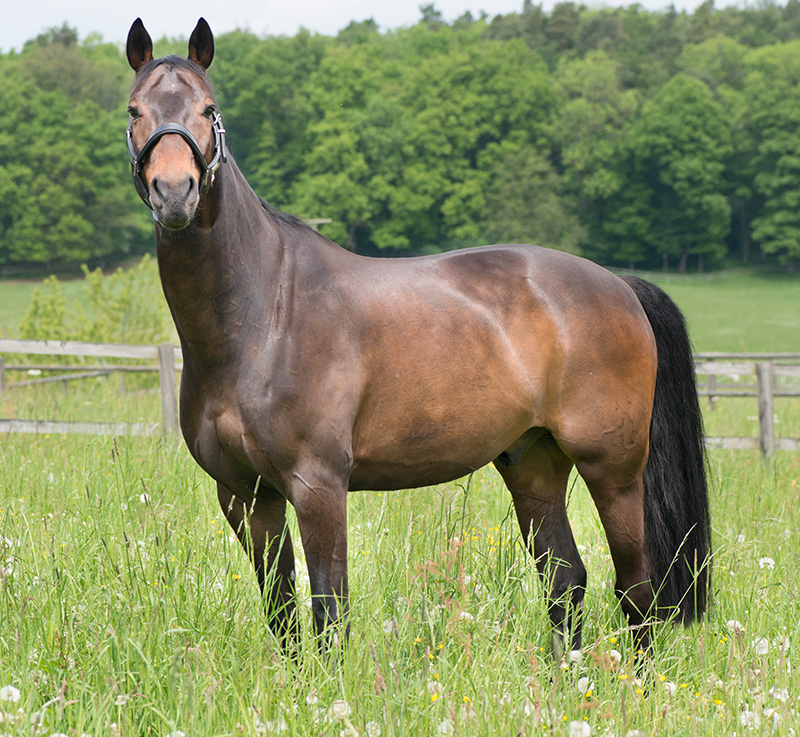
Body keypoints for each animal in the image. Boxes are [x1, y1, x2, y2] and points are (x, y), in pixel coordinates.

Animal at [125, 17, 711, 659]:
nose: (174, 191)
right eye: (134, 110)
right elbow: (282, 615)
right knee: (565, 579)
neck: (263, 317)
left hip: (613, 468)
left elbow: (329, 612)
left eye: (209, 109)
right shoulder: (245, 495)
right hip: (533, 465)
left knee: (637, 590)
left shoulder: (318, 485)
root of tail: (619, 285)